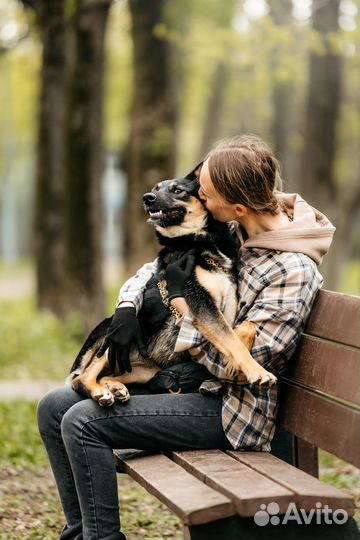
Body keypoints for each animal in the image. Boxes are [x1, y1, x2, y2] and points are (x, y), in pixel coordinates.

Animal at [68, 165, 276, 404]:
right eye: (155, 189)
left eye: (177, 190)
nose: (147, 198)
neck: (198, 241)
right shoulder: (200, 302)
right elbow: (230, 339)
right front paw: (258, 371)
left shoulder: (229, 305)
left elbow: (242, 330)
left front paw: (233, 363)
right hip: (114, 337)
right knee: (81, 378)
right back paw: (100, 391)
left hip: (144, 370)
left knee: (106, 375)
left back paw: (115, 387)